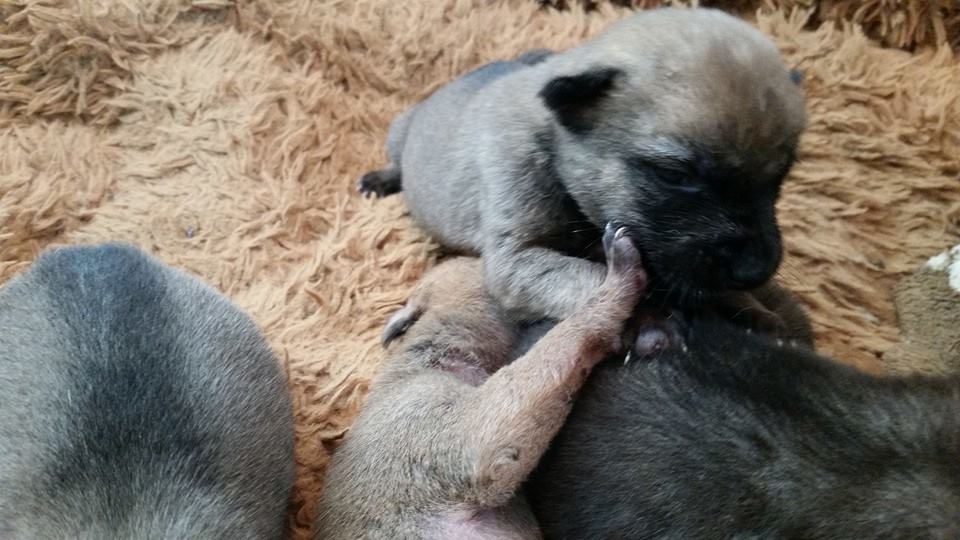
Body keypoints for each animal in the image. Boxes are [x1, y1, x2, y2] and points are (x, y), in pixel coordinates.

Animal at [359, 7, 806, 323]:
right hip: (398, 133)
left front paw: (756, 311)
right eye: (674, 175)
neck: (553, 144)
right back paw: (379, 180)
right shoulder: (517, 260)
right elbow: (601, 282)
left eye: (781, 178)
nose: (756, 271)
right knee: (395, 163)